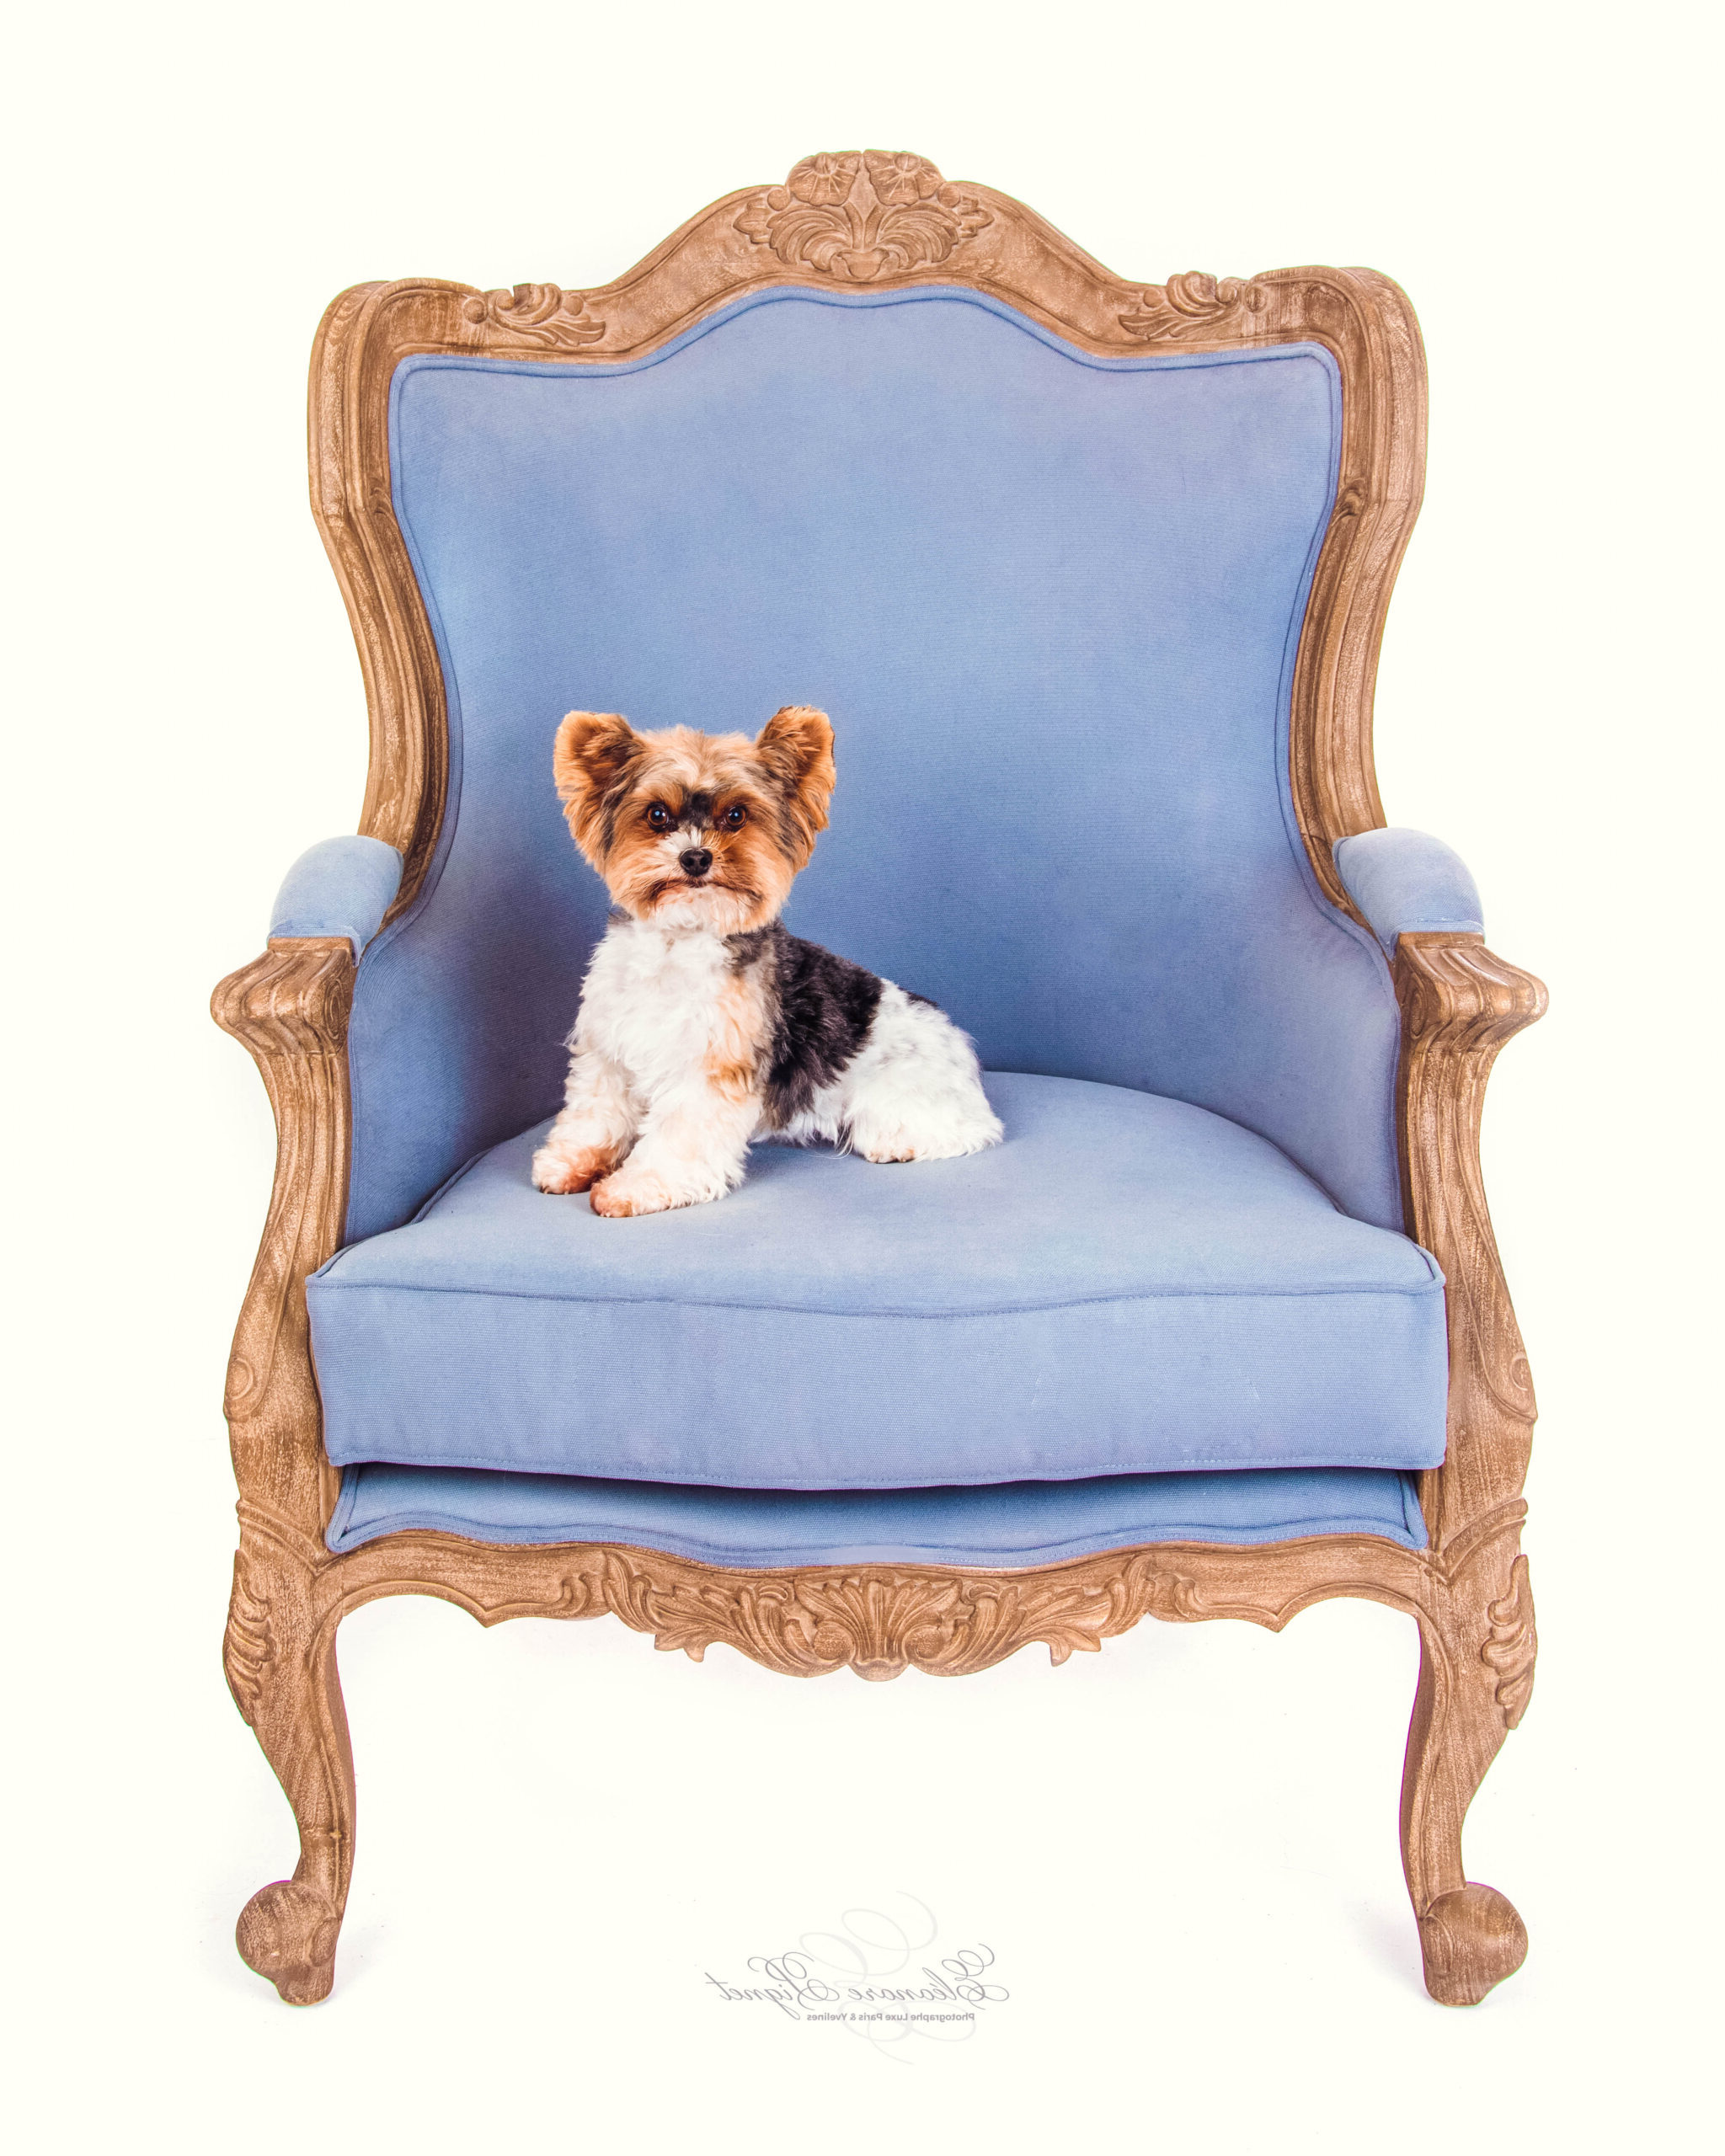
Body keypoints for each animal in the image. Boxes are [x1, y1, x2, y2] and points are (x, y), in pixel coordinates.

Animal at [532, 705, 1003, 1216]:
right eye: (657, 815)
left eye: (736, 815)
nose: (695, 857)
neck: (681, 941)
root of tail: (959, 1044)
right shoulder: (608, 1051)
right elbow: (596, 1112)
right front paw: (573, 1162)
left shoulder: (711, 1067)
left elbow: (679, 1137)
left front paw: (636, 1187)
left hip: (903, 1095)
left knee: (966, 1131)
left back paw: (902, 1144)